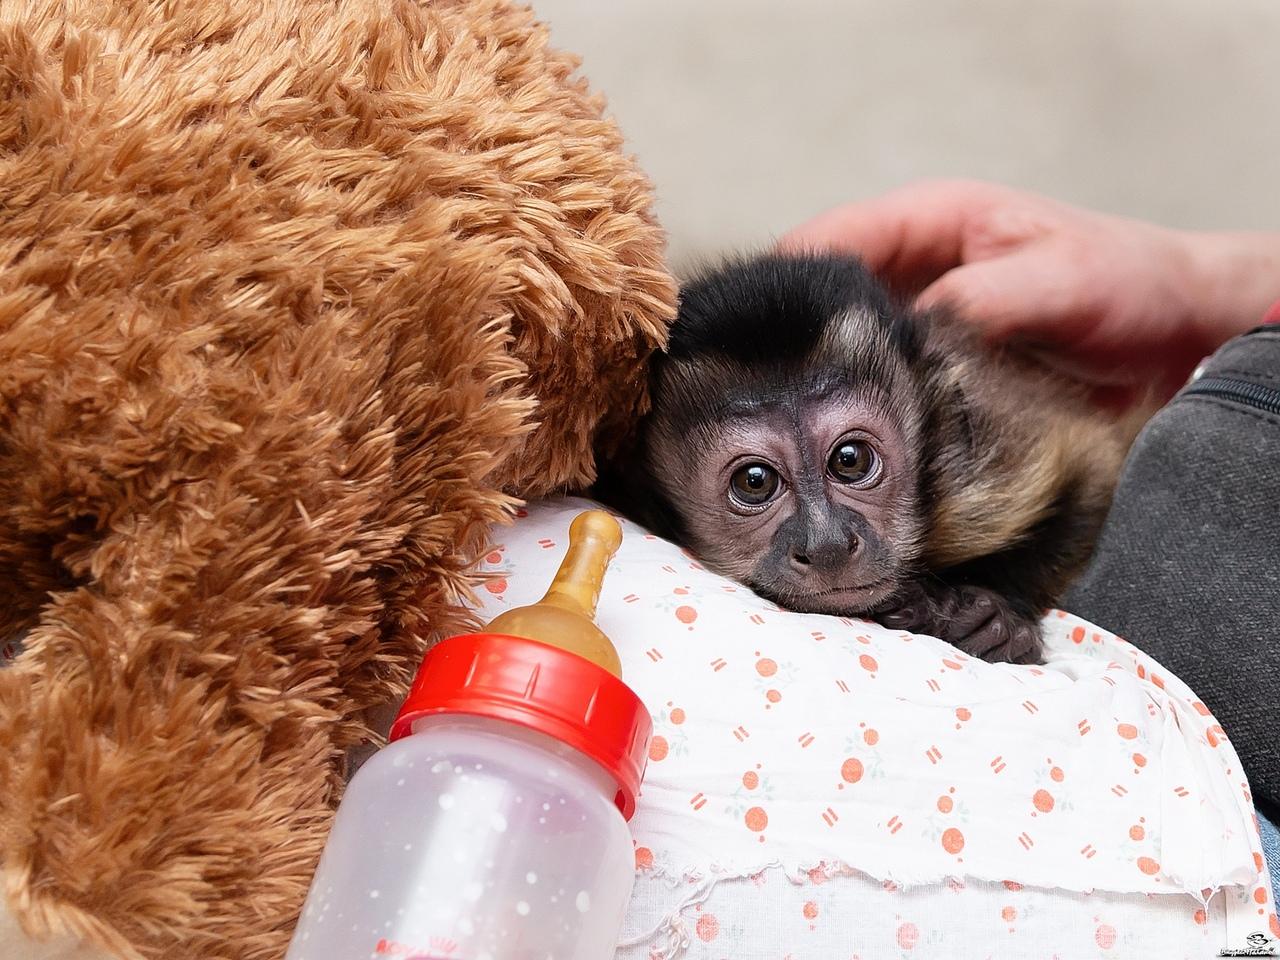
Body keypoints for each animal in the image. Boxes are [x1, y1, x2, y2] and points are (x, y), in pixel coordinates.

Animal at [599, 252, 1131, 665]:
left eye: (850, 460)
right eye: (754, 481)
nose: (828, 544)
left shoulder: (985, 465)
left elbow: (1092, 466)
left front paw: (997, 613)